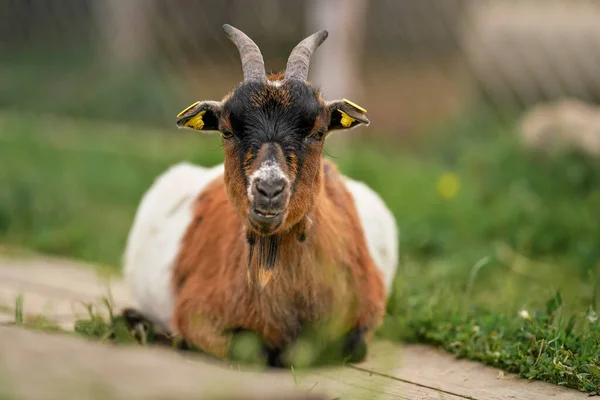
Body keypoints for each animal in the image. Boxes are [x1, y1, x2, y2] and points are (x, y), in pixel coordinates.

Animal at [122, 25, 398, 368]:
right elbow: (254, 350)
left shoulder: (365, 318)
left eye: (319, 132)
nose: (268, 190)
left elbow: (349, 346)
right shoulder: (196, 315)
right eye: (226, 131)